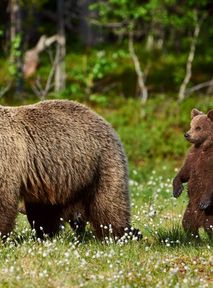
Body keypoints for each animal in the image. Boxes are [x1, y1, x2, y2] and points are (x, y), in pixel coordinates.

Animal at [0, 100, 140, 240]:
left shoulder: (8, 158)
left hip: (101, 163)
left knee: (108, 206)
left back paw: (119, 235)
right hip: (56, 179)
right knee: (44, 211)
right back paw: (46, 235)